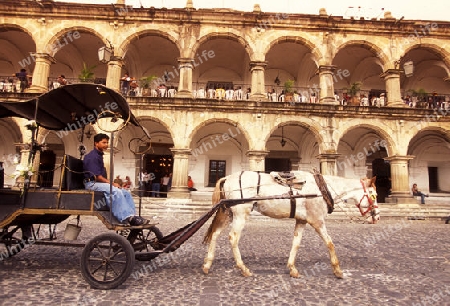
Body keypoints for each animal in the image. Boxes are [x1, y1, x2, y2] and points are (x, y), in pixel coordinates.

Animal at [202, 171, 378, 278]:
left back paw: (207, 264)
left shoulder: (302, 221)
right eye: (373, 195)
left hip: (228, 213)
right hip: (240, 213)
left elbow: (296, 243)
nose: (376, 216)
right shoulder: (317, 220)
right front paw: (337, 270)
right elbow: (330, 243)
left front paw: (292, 268)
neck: (321, 189)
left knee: (215, 234)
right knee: (233, 237)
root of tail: (228, 177)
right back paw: (243, 268)